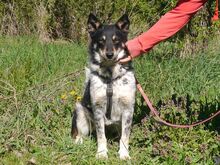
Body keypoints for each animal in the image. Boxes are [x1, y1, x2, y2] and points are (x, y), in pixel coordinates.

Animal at [71, 14, 136, 160]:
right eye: (101, 40)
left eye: (116, 40)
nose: (109, 54)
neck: (110, 78)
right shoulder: (98, 110)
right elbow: (101, 136)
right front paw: (101, 153)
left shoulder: (128, 110)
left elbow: (125, 137)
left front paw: (124, 154)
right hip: (80, 110)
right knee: (78, 134)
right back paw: (79, 142)